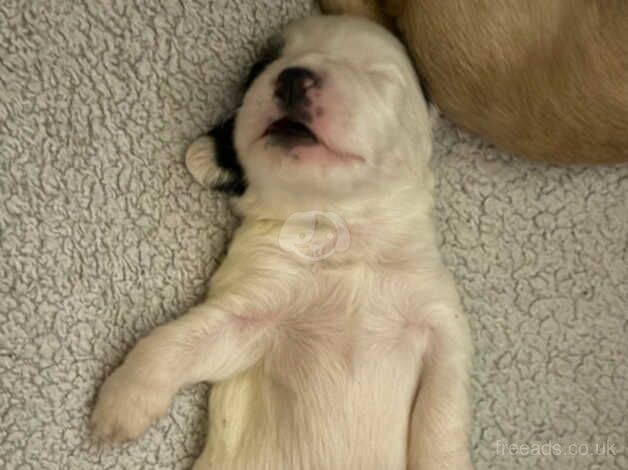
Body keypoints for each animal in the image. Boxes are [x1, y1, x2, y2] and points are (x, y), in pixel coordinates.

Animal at [91, 14, 474, 470]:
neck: (342, 234)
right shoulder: (251, 313)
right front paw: (121, 403)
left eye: (375, 73)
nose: (292, 77)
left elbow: (441, 424)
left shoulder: (441, 329)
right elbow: (175, 340)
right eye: (263, 67)